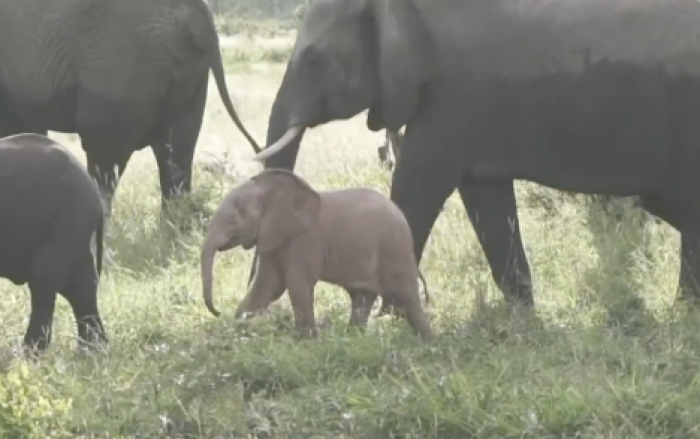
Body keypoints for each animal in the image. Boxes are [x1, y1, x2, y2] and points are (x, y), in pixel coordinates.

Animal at [0, 132, 106, 352]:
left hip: (66, 220)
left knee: (44, 279)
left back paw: (31, 352)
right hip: (72, 227)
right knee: (79, 286)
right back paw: (92, 350)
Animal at [200, 168, 432, 340]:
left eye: (233, 221)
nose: (217, 312)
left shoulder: (305, 240)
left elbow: (296, 286)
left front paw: (307, 342)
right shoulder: (274, 239)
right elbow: (266, 288)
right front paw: (235, 332)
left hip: (395, 249)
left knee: (407, 298)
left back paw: (428, 342)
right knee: (363, 296)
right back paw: (352, 339)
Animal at [252, 0, 700, 310]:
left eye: (314, 59)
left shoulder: (455, 95)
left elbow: (417, 185)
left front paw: (383, 316)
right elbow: (486, 199)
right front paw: (522, 315)